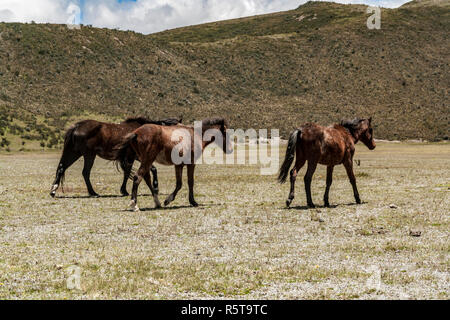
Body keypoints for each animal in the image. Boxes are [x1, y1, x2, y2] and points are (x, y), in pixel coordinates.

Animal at [50, 117, 180, 198]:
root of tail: (76, 126)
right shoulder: (132, 156)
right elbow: (129, 172)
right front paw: (125, 190)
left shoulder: (135, 157)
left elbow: (147, 169)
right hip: (88, 155)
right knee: (85, 172)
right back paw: (93, 192)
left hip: (73, 153)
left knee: (61, 168)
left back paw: (53, 191)